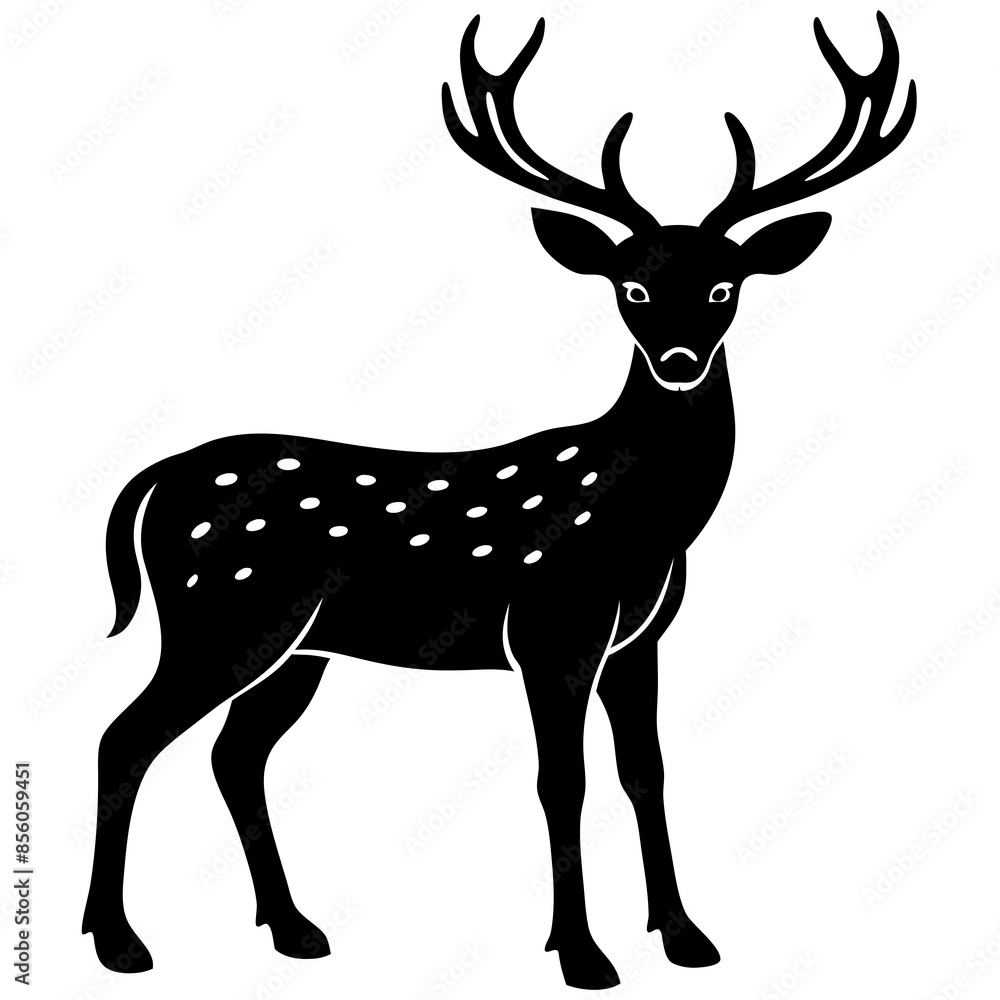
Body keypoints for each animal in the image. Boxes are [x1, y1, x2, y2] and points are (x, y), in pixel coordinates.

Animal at [81, 12, 916, 990]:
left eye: (724, 285)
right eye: (631, 285)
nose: (678, 362)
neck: (646, 525)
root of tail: (156, 477)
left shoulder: (639, 639)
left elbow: (646, 771)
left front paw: (685, 937)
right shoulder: (554, 628)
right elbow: (564, 782)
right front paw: (582, 954)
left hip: (295, 647)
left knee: (232, 754)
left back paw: (293, 928)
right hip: (222, 618)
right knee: (125, 737)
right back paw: (119, 942)